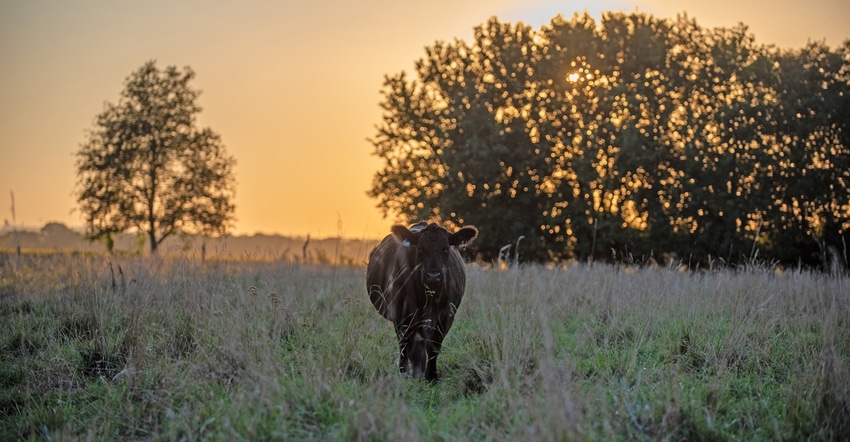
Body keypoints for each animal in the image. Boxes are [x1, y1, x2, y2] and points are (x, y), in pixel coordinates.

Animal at [364, 223, 476, 382]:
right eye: (421, 249)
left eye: (446, 249)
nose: (433, 276)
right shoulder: (404, 314)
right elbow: (415, 349)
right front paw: (416, 376)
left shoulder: (447, 315)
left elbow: (434, 346)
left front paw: (432, 376)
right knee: (404, 343)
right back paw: (405, 371)